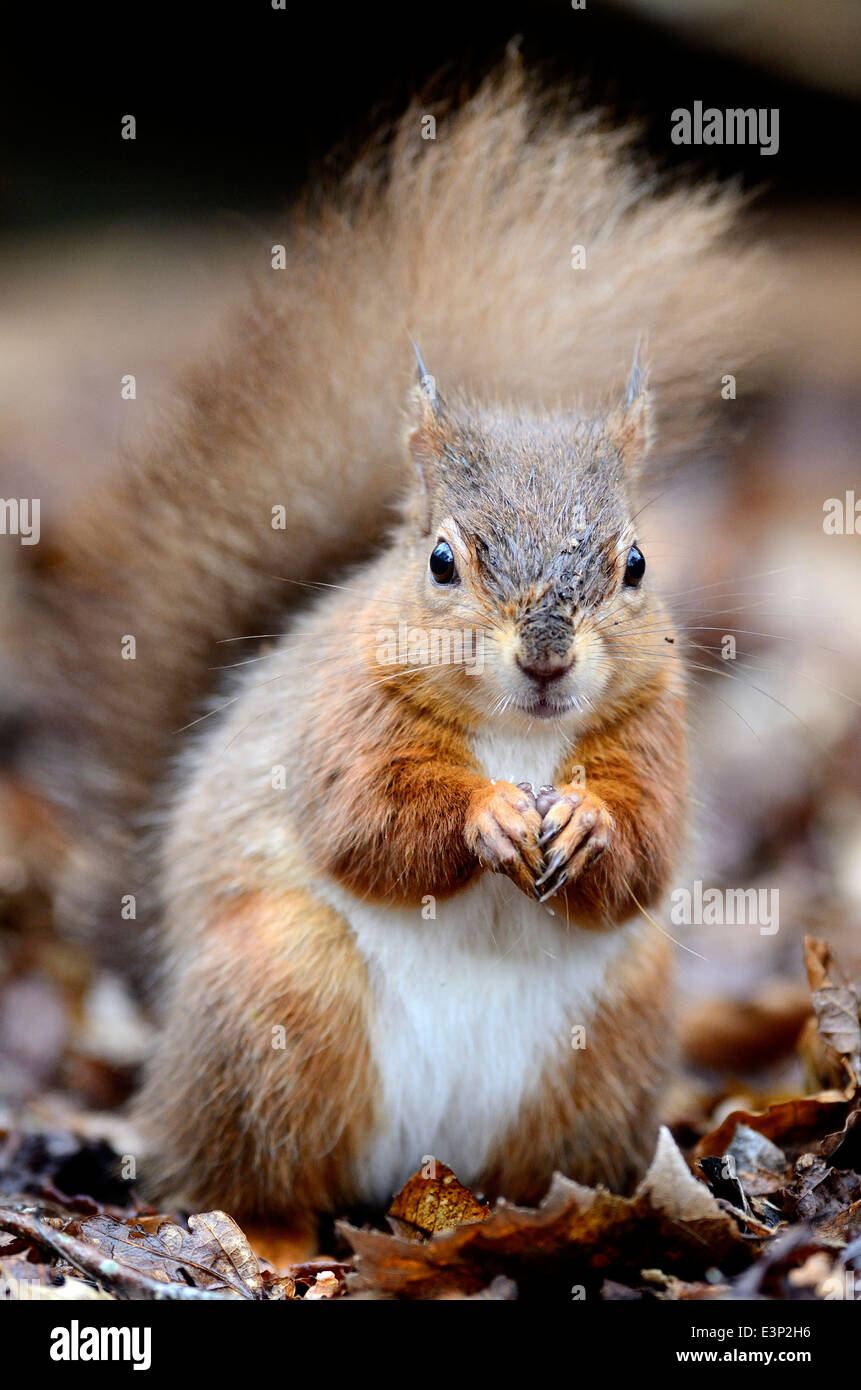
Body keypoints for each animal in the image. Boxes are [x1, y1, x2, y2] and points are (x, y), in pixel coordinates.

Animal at [11, 59, 767, 1223]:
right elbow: (368, 821)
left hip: (611, 1038)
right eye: (443, 561)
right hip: (278, 993)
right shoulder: (341, 718)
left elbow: (647, 847)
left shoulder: (657, 729)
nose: (546, 656)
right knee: (247, 1175)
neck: (518, 738)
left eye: (636, 563)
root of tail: (419, 1168)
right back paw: (271, 1228)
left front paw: (587, 821)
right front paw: (489, 817)